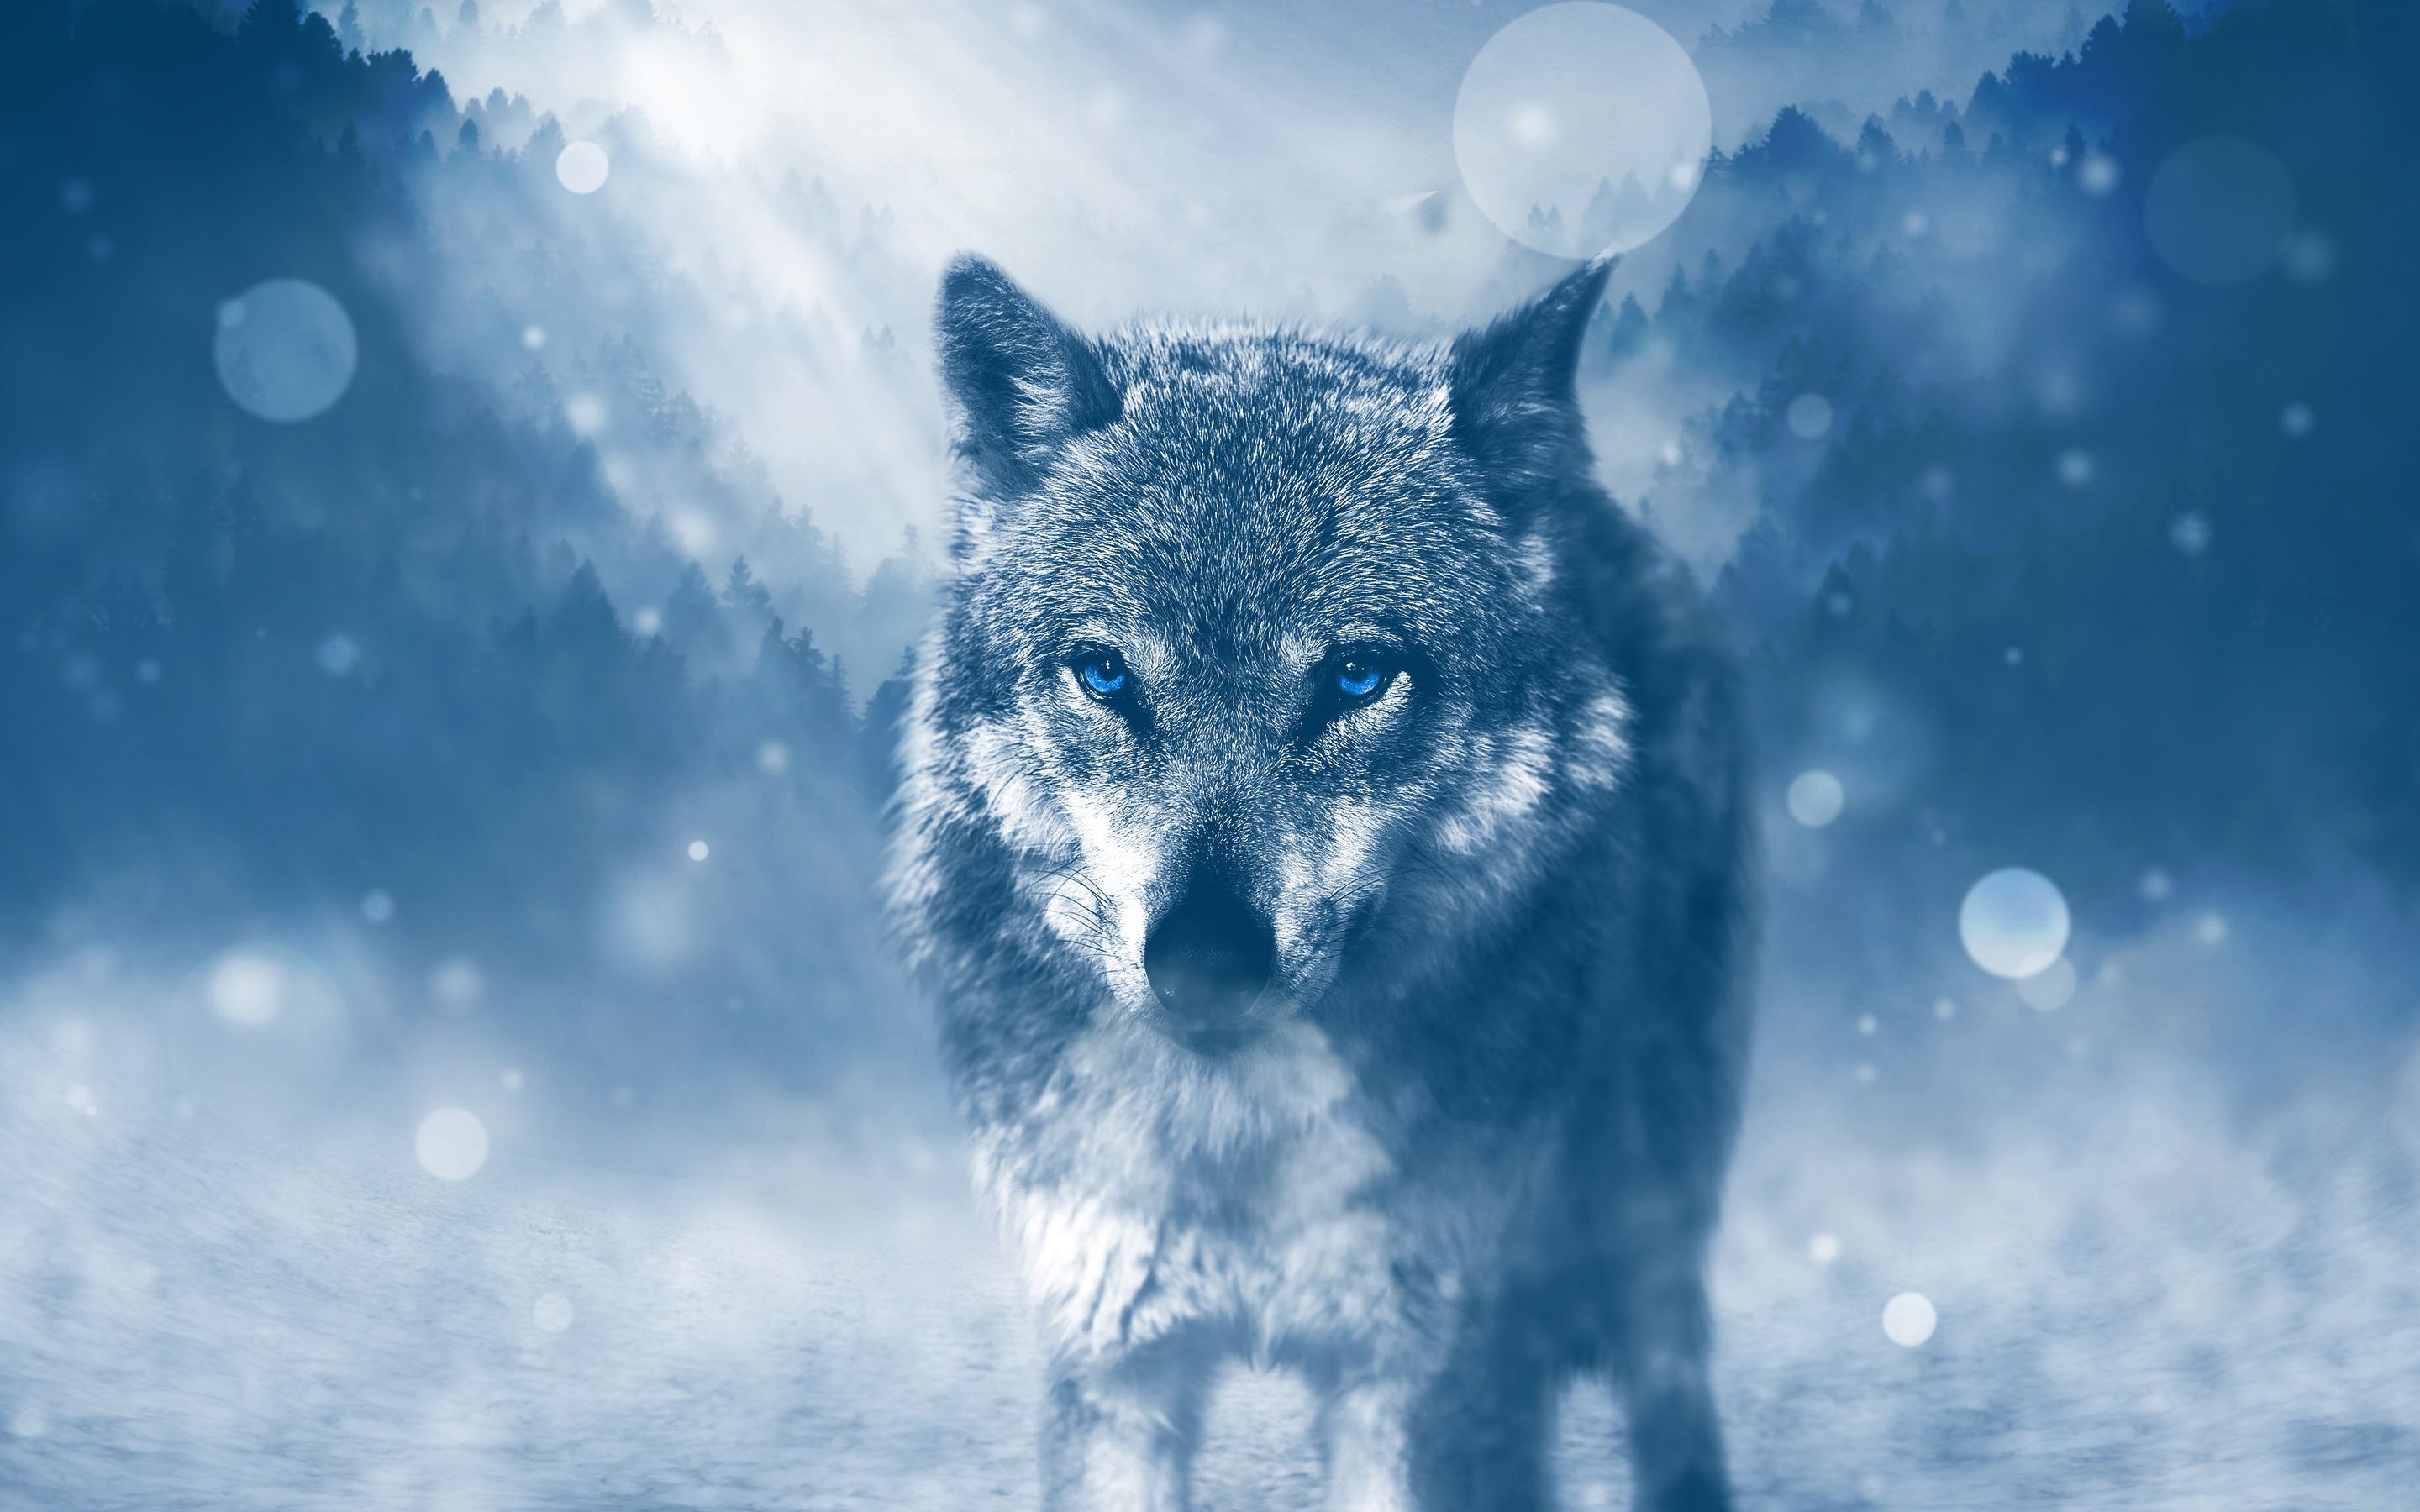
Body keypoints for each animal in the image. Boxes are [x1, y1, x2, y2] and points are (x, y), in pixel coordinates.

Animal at [887, 253, 1755, 1512]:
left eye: (1356, 676)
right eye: (1105, 674)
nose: (1203, 962)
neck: (1239, 1142)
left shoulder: (1426, 1373)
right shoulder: (1114, 1357)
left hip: (1649, 1195)